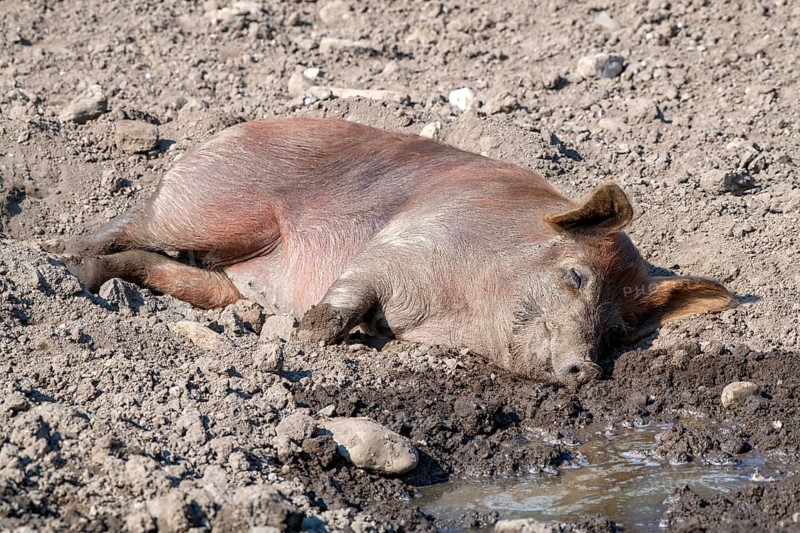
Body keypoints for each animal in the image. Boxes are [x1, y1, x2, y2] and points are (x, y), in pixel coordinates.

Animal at [55, 118, 737, 384]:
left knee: (164, 267)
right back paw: (66, 258)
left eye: (618, 332)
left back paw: (92, 275)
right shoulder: (404, 241)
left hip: (220, 277)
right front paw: (310, 334)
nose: (586, 369)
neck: (458, 312)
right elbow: (351, 294)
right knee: (137, 219)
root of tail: (220, 135)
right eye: (575, 277)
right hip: (215, 209)